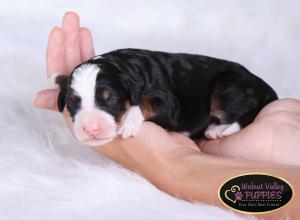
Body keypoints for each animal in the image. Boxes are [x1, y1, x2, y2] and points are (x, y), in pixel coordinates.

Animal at [45, 49, 278, 147]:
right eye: (72, 103)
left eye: (110, 99)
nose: (91, 129)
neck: (123, 65)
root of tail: (264, 86)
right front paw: (54, 80)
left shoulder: (171, 107)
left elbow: (145, 101)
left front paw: (129, 121)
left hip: (227, 84)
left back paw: (218, 130)